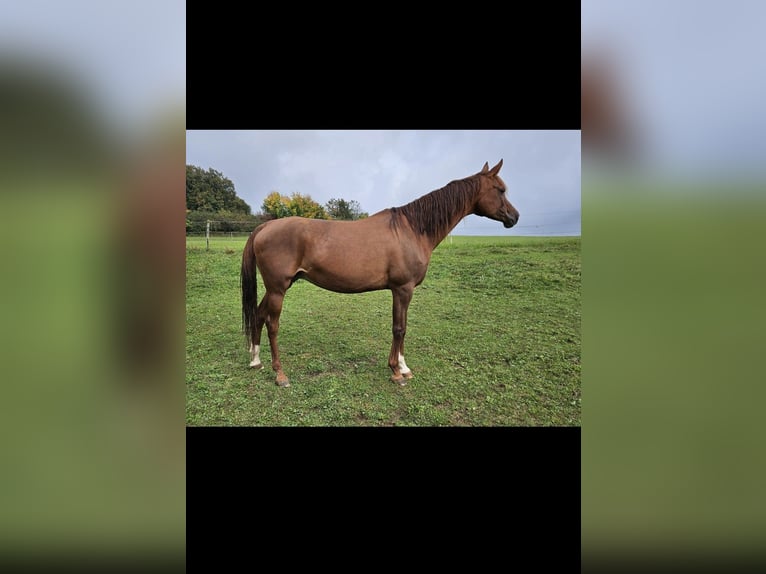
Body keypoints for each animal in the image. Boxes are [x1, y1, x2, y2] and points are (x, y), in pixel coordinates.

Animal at [240, 159, 519, 387]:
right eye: (500, 190)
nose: (514, 217)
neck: (413, 229)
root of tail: (265, 227)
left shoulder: (403, 290)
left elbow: (403, 326)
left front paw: (404, 368)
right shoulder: (402, 289)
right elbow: (399, 328)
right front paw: (396, 371)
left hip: (276, 288)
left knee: (258, 315)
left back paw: (256, 361)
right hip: (278, 289)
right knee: (272, 324)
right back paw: (280, 374)